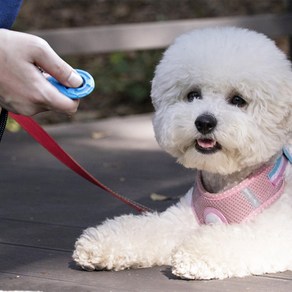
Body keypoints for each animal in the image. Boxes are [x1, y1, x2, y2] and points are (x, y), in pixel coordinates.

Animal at [73, 28, 292, 280]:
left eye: (238, 100)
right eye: (193, 95)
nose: (204, 122)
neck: (225, 185)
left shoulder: (277, 230)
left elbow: (242, 239)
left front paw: (195, 254)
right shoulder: (179, 220)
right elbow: (147, 229)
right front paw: (99, 245)